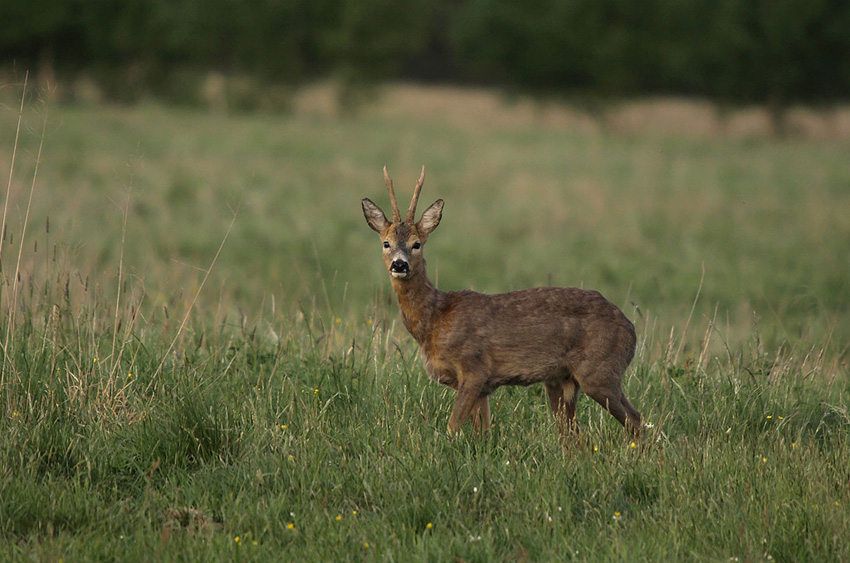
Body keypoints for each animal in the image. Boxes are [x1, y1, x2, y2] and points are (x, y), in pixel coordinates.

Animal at [362, 165, 640, 438]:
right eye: (386, 243)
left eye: (416, 244)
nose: (399, 265)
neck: (436, 320)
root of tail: (630, 328)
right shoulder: (482, 386)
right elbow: (483, 432)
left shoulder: (474, 368)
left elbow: (452, 427)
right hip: (561, 381)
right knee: (574, 436)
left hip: (600, 370)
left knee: (635, 419)